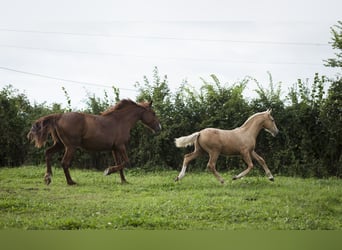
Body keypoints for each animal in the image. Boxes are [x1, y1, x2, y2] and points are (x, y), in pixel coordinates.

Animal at [27, 98, 161, 185]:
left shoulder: (114, 148)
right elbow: (126, 162)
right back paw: (71, 182)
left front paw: (124, 181)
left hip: (60, 144)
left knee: (48, 153)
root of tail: (59, 116)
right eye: (153, 113)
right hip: (71, 146)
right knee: (64, 163)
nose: (159, 128)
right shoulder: (121, 146)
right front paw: (108, 171)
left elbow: (120, 164)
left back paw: (48, 178)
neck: (120, 121)